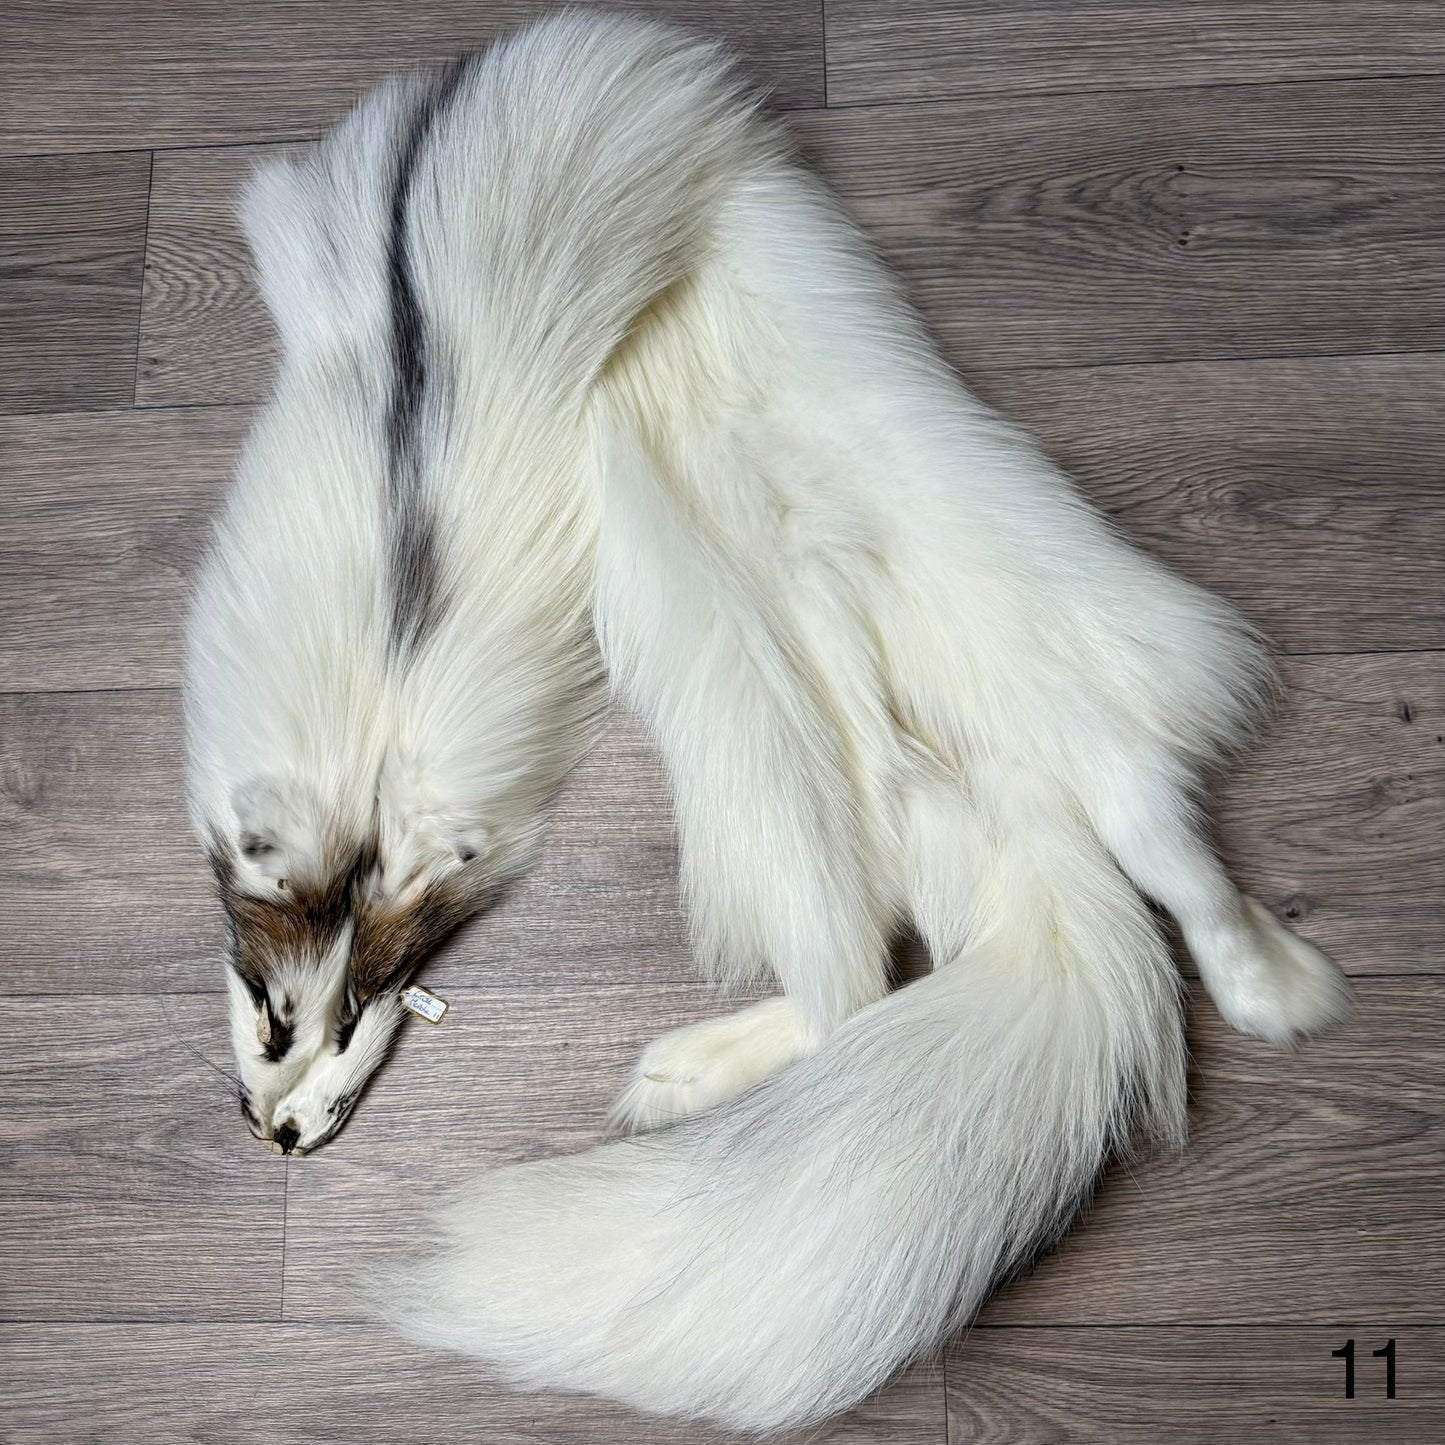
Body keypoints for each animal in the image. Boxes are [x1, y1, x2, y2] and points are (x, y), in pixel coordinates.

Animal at [183, 10, 1351, 1431]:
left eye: (325, 1019)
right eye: (282, 1016)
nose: (279, 1134)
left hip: (818, 630)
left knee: (861, 975)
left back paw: (678, 1069)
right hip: (825, 660)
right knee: (1096, 818)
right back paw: (1259, 979)